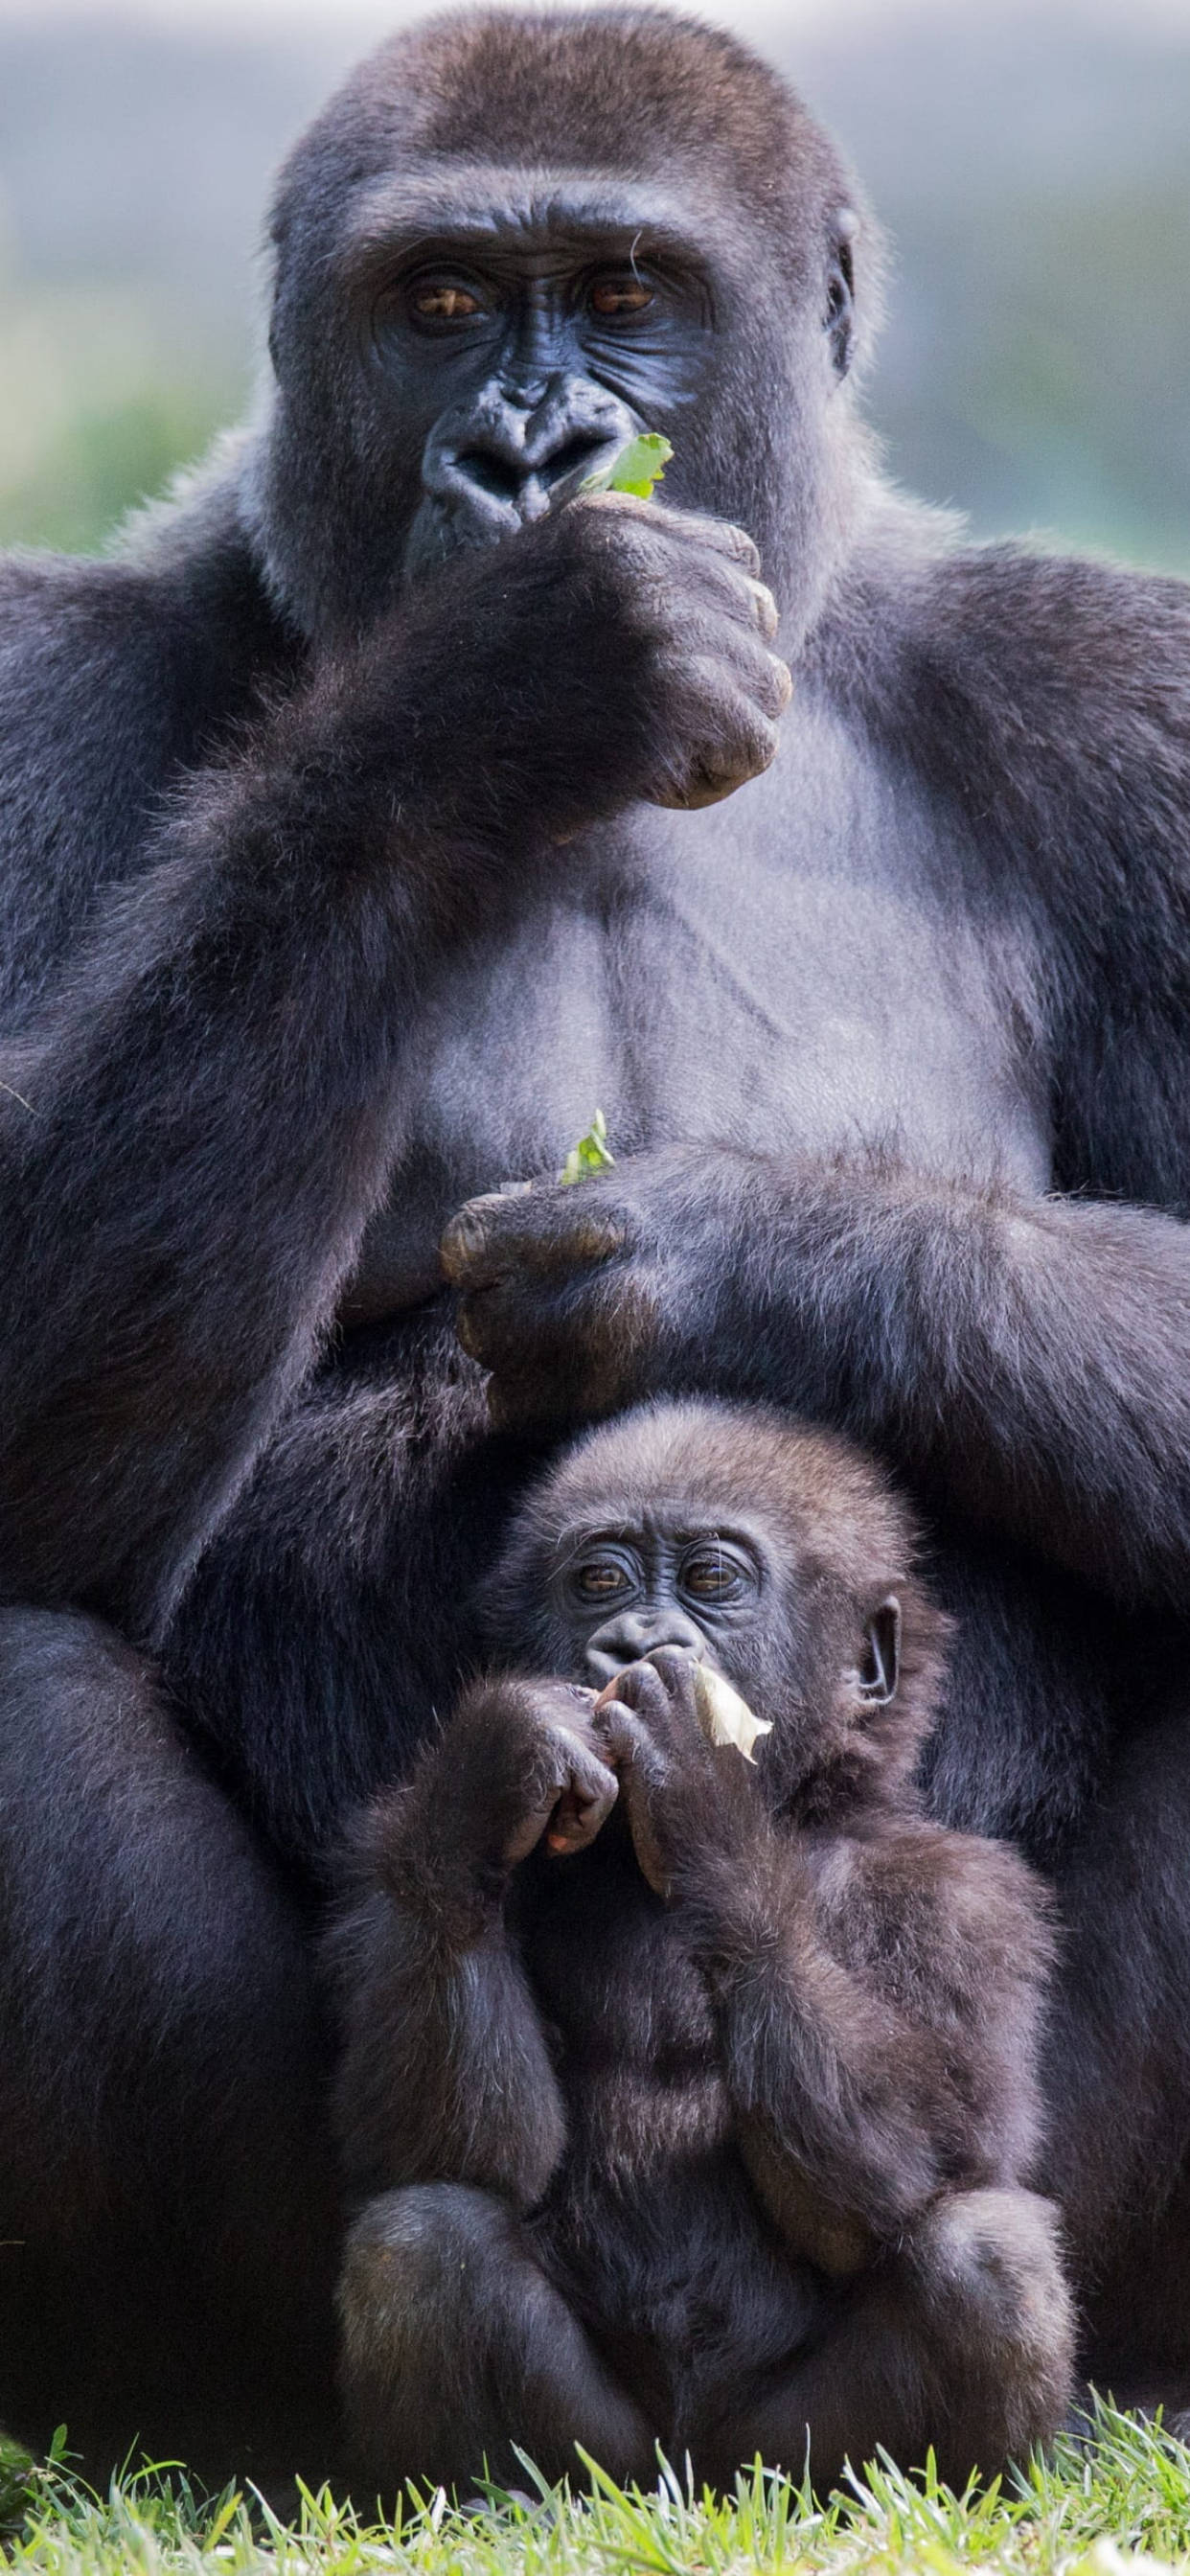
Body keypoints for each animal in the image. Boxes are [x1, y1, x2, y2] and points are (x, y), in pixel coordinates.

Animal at [331, 1400, 1075, 2496]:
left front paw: (703, 1795)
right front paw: (500, 1761)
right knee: (422, 2238)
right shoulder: (390, 1859)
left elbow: (934, 2155)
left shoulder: (970, 1899)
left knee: (985, 2253)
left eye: (712, 1580)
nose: (632, 1642)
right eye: (600, 1581)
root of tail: (694, 2480)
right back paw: (481, 2501)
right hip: (609, 2460)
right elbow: (450, 2145)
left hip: (783, 2459)